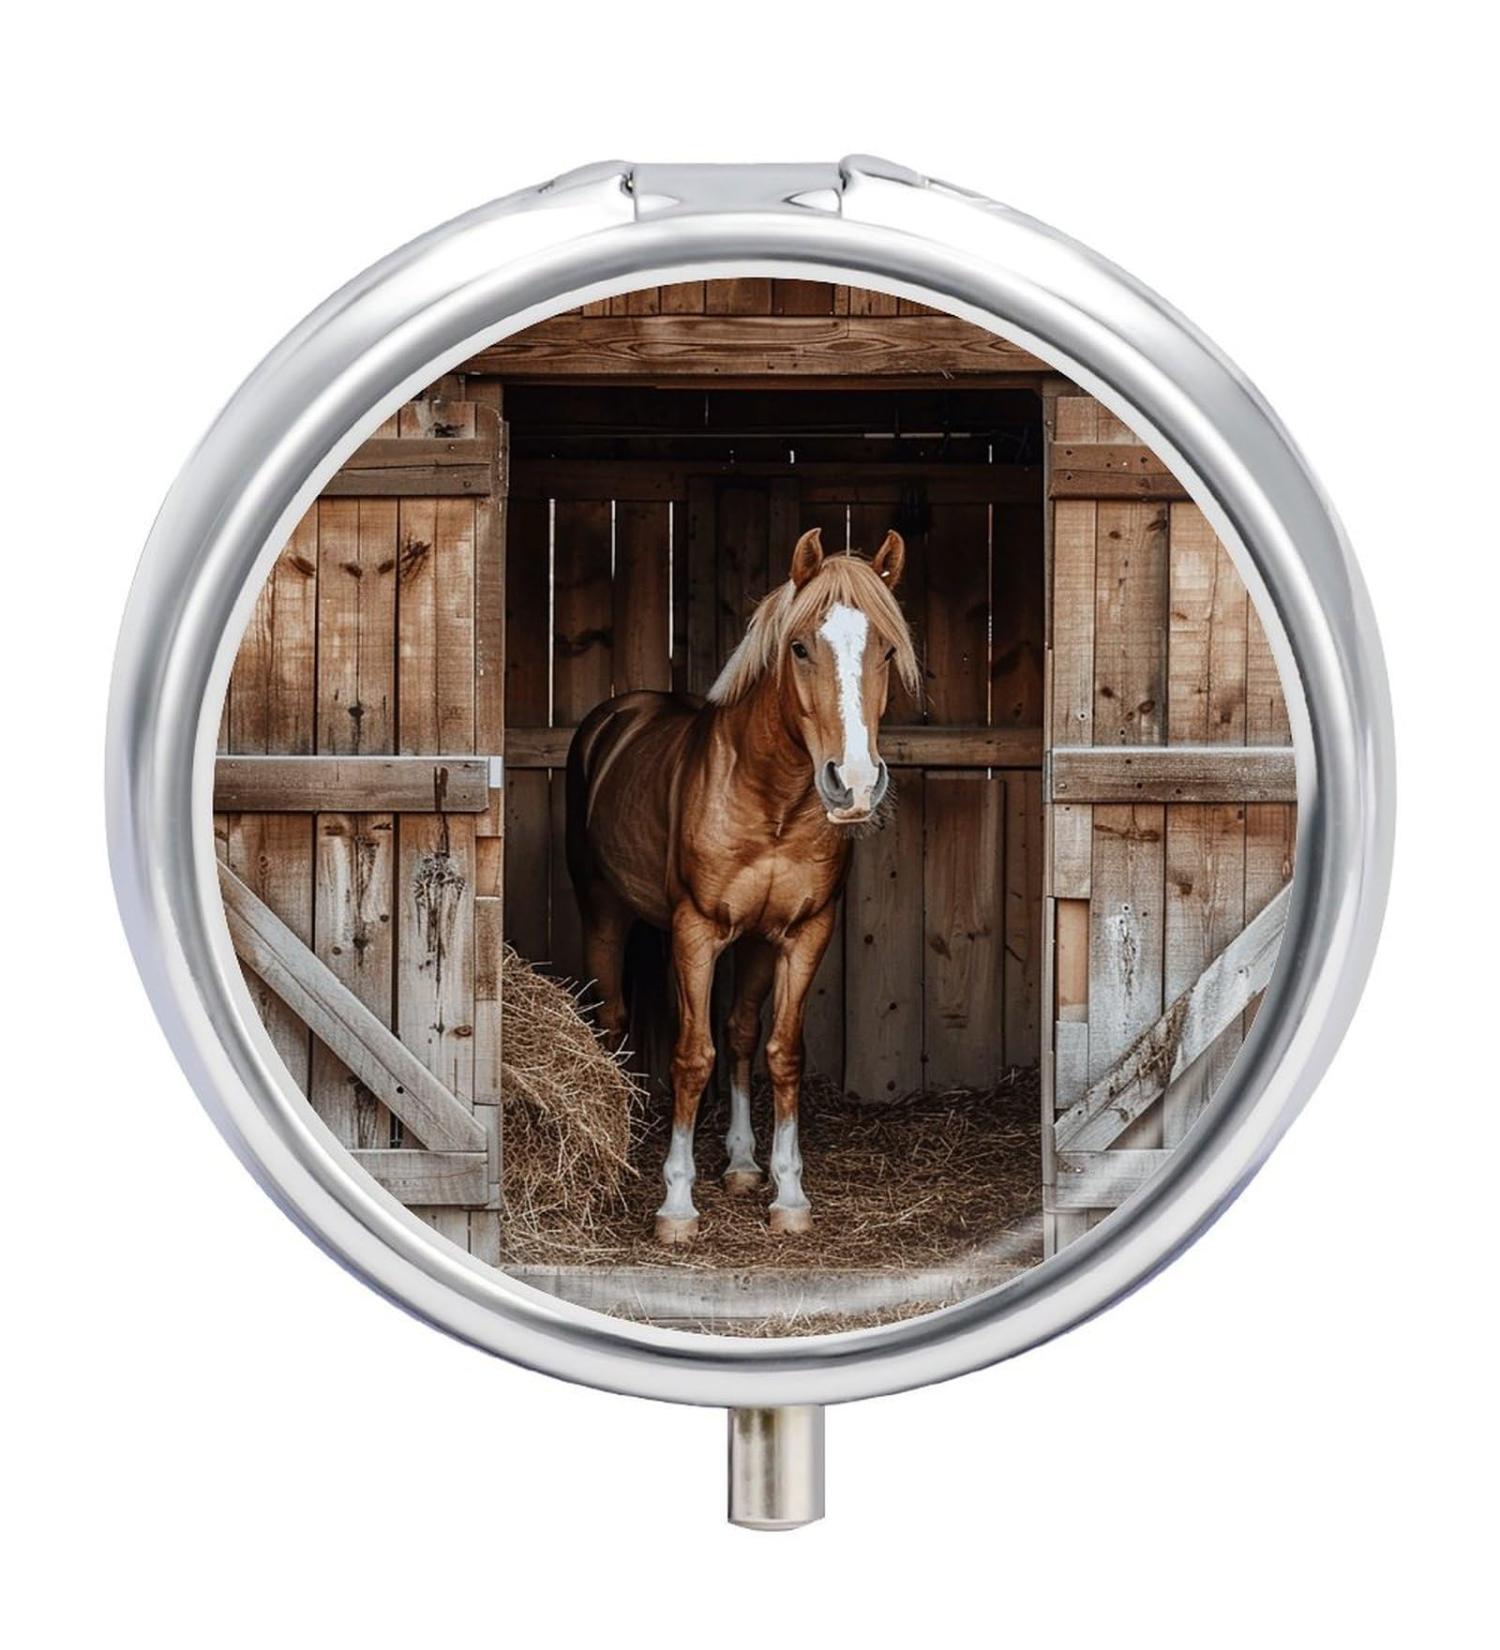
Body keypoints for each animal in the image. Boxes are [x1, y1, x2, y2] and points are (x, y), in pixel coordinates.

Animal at [565, 526, 918, 1244]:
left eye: (888, 649)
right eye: (800, 646)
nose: (854, 783)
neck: (771, 798)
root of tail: (613, 719)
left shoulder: (803, 932)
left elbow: (778, 1052)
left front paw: (787, 1191)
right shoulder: (696, 931)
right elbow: (690, 1055)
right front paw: (676, 1202)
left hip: (748, 942)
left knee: (739, 1033)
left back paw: (741, 1162)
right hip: (603, 912)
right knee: (613, 1017)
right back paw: (627, 1139)